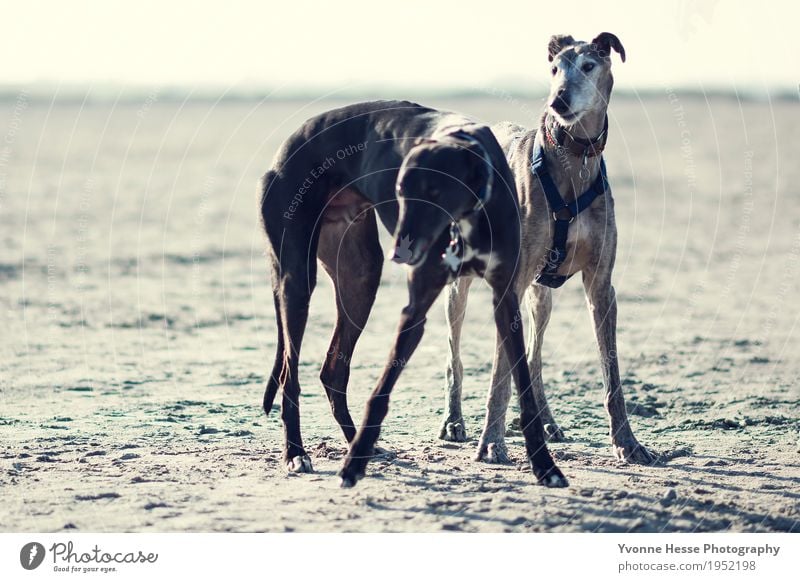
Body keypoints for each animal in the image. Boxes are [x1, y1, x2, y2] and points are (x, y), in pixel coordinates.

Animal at [260, 101, 564, 488]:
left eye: (435, 192)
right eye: (400, 190)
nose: (401, 253)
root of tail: (288, 145)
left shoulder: (505, 300)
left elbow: (522, 383)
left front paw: (545, 466)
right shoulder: (416, 306)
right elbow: (380, 393)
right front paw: (352, 466)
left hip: (360, 278)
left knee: (333, 371)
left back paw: (356, 442)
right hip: (297, 277)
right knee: (290, 374)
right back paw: (297, 453)